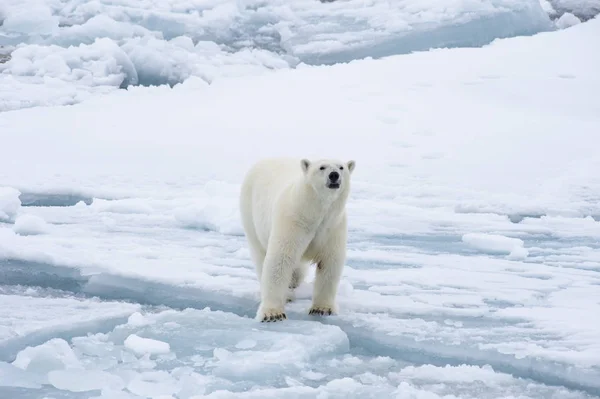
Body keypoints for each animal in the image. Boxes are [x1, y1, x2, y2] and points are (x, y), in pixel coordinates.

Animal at [240, 158, 356, 324]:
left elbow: (330, 262)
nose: (334, 175)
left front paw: (322, 309)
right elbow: (280, 260)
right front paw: (272, 314)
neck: (314, 212)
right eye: (322, 167)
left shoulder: (333, 226)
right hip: (250, 213)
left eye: (341, 167)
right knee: (260, 254)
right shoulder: (293, 221)